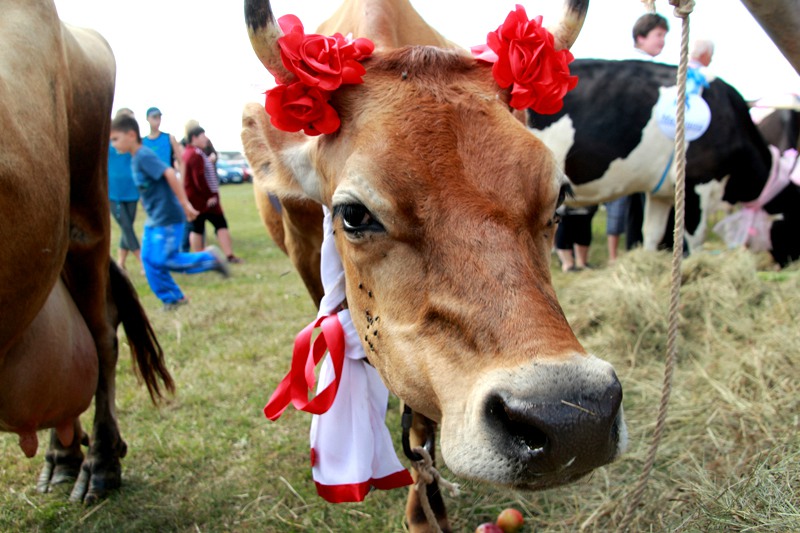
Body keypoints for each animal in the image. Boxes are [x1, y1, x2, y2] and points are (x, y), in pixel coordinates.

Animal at [527, 59, 800, 266]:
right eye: (796, 221)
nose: (791, 261)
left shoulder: (661, 192)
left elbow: (652, 233)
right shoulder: (699, 183)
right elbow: (695, 238)